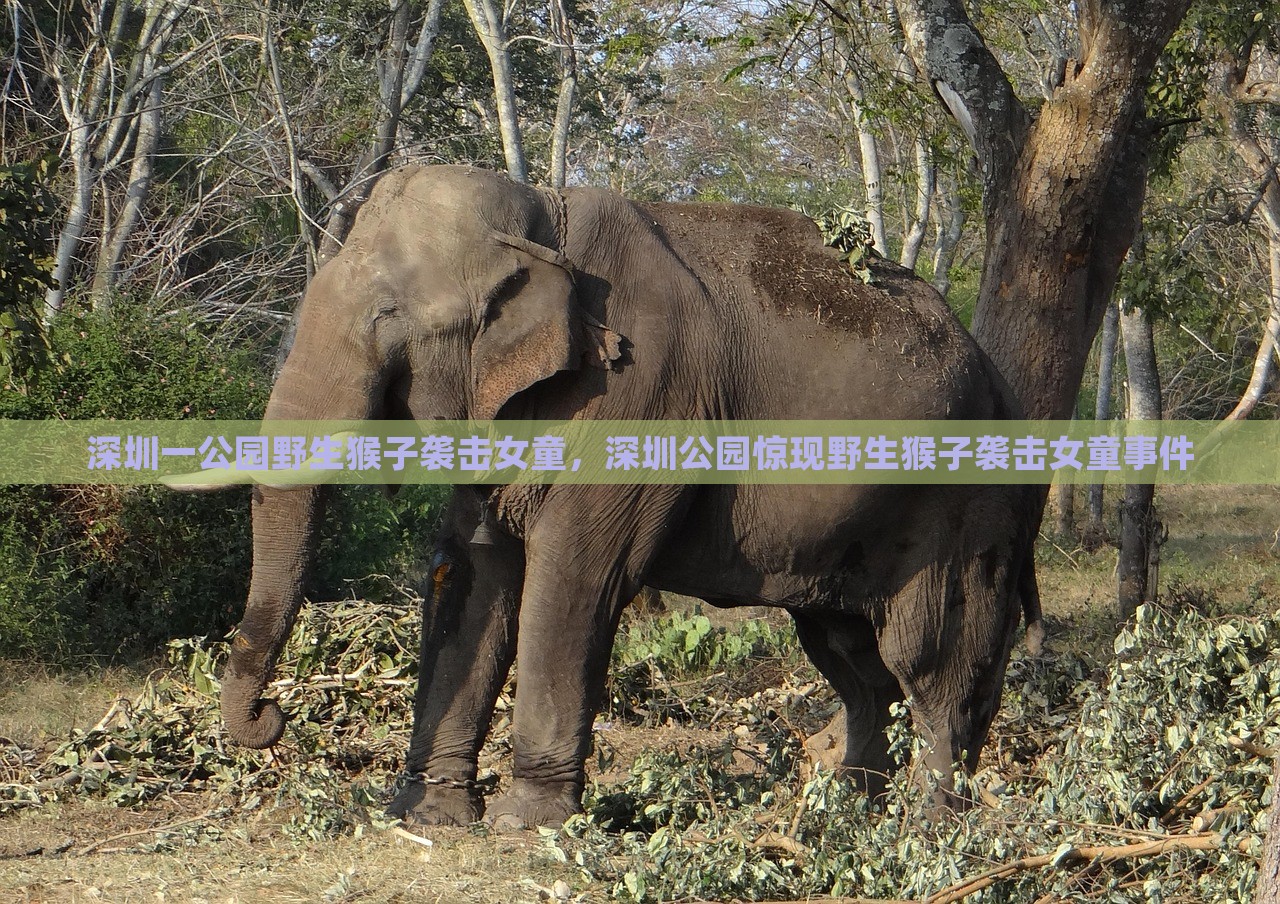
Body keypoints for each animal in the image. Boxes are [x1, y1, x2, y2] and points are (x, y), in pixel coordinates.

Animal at [217, 165, 1039, 829]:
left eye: (389, 318)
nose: (270, 719)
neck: (545, 217)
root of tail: (1002, 383)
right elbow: (475, 577)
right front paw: (428, 815)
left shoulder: (639, 395)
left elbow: (574, 578)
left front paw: (524, 823)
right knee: (853, 659)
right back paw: (846, 813)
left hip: (963, 507)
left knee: (932, 657)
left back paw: (929, 827)